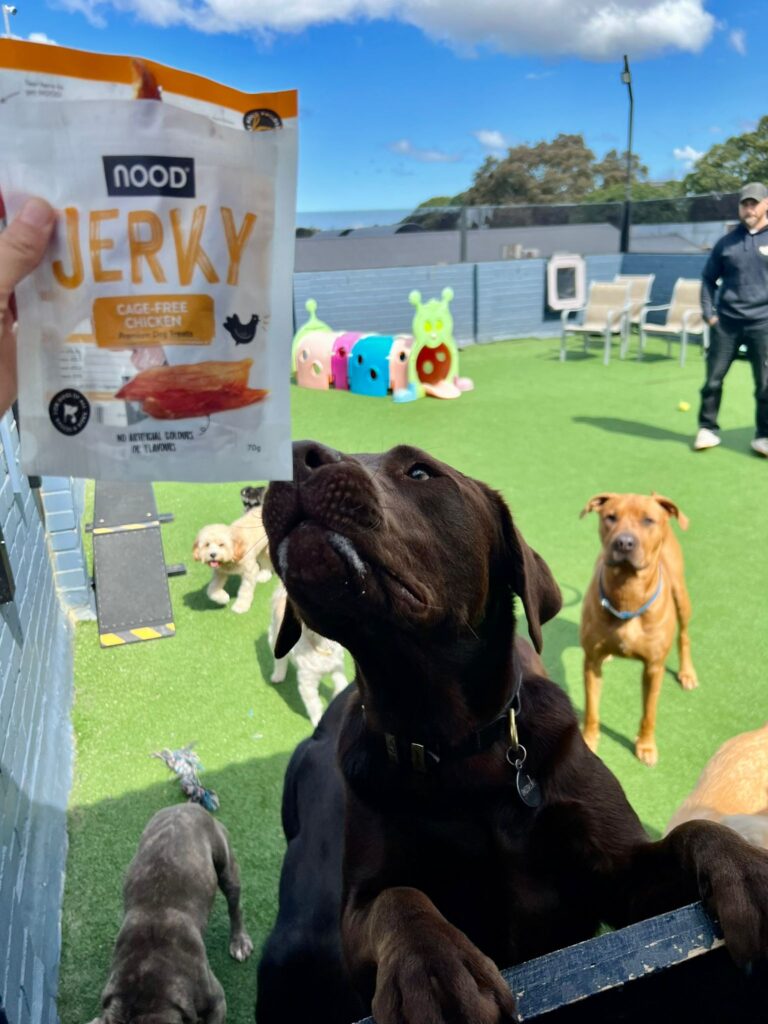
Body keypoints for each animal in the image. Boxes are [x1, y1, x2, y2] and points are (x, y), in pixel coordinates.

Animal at [268, 582, 349, 726]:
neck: (322, 647)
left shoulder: (337, 667)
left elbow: (342, 685)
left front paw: (336, 696)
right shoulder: (307, 682)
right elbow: (314, 704)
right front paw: (318, 721)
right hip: (274, 637)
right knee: (280, 660)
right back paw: (278, 675)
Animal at [579, 491, 698, 766]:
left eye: (648, 520)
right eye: (611, 517)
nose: (624, 543)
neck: (627, 595)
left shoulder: (654, 667)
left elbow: (649, 713)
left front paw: (645, 745)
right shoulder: (591, 662)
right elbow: (592, 708)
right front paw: (588, 740)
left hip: (681, 596)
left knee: (684, 635)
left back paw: (687, 673)